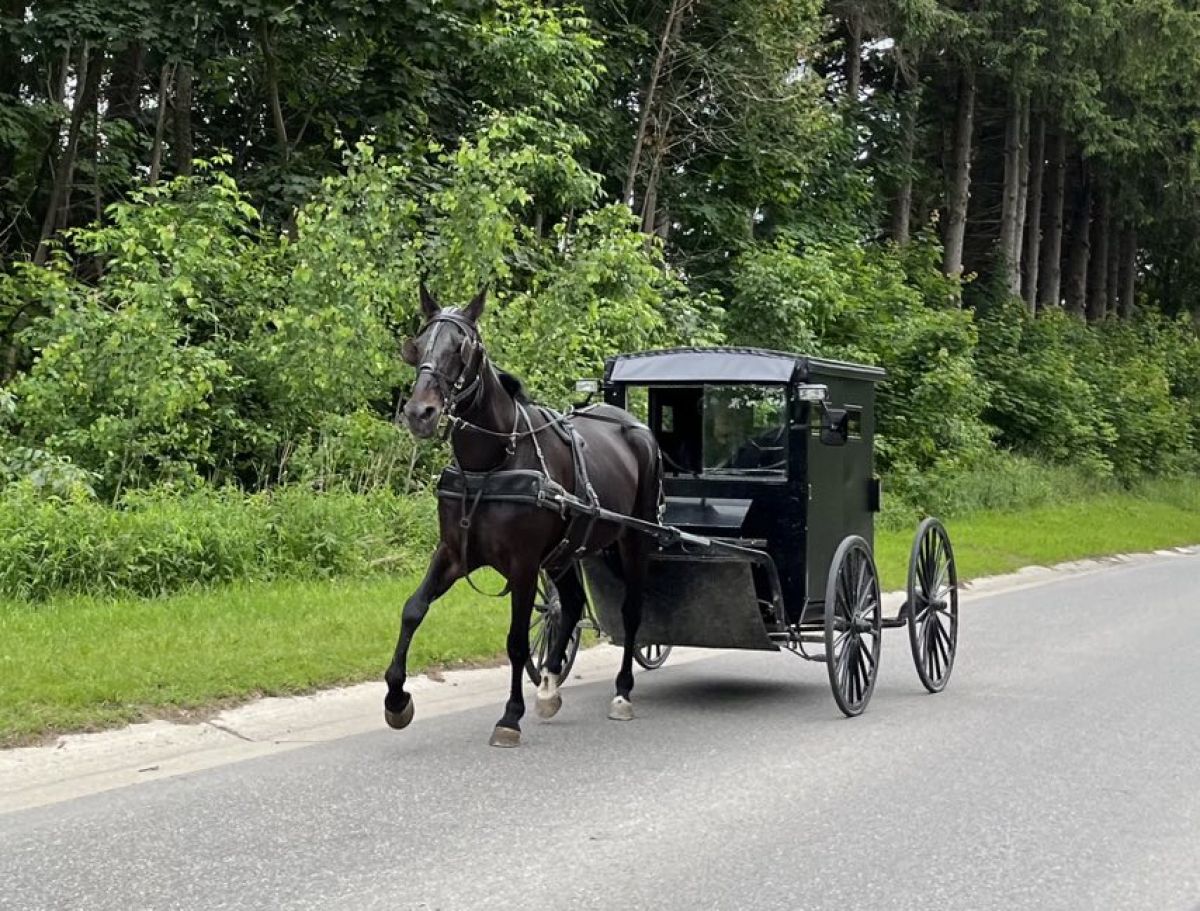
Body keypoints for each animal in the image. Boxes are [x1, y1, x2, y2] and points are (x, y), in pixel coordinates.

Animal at [383, 283, 663, 747]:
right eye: (418, 345)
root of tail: (636, 426)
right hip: (568, 550)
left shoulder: (524, 564)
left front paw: (510, 717)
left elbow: (515, 641)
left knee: (631, 612)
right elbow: (412, 610)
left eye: (462, 348)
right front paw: (396, 699)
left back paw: (622, 692)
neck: (492, 464)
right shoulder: (453, 553)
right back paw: (549, 686)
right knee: (569, 605)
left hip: (634, 538)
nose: (419, 413)